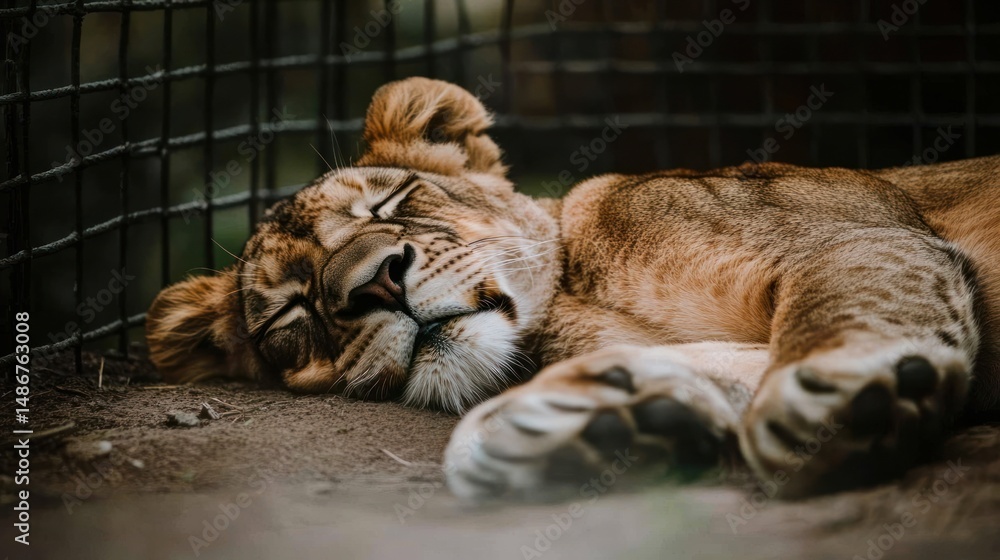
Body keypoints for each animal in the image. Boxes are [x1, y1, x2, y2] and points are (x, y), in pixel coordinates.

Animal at [146, 77, 1000, 499]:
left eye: (392, 205)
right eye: (293, 311)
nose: (374, 284)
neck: (575, 296)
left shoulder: (861, 235)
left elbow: (832, 308)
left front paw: (833, 395)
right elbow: (728, 362)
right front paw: (577, 426)